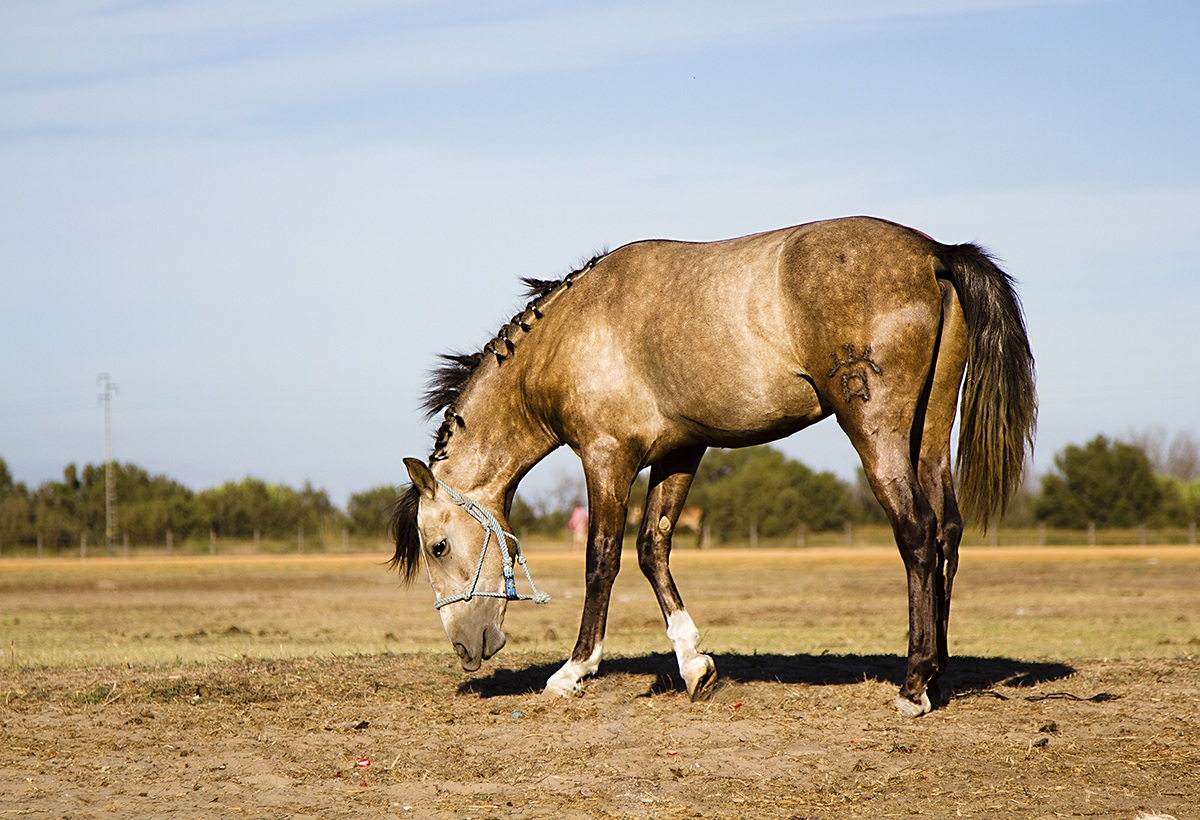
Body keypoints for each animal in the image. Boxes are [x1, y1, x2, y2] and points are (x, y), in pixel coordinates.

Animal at [390, 216, 1036, 716]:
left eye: (438, 547)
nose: (465, 650)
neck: (572, 333)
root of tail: (934, 252)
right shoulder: (679, 453)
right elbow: (653, 550)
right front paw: (694, 663)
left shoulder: (606, 457)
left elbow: (603, 560)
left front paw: (575, 671)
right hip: (928, 434)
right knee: (947, 531)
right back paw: (939, 672)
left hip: (878, 432)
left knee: (918, 532)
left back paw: (914, 683)